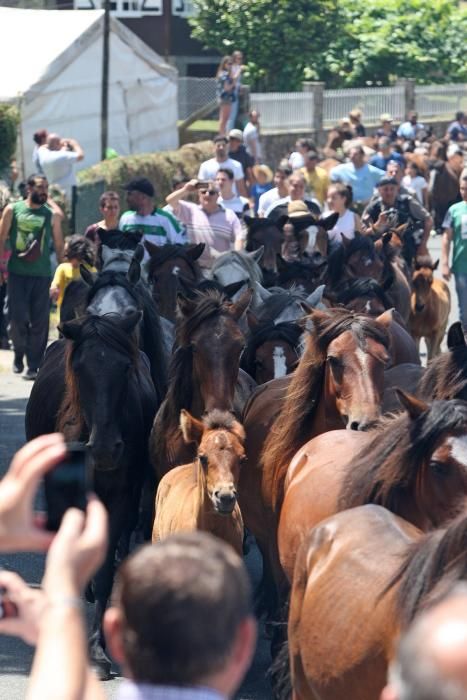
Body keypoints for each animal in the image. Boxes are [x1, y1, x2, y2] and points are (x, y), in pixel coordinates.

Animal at [26, 312, 159, 680]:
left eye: (125, 368)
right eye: (81, 368)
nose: (104, 449)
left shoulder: (120, 497)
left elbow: (103, 572)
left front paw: (98, 652)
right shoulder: (60, 493)